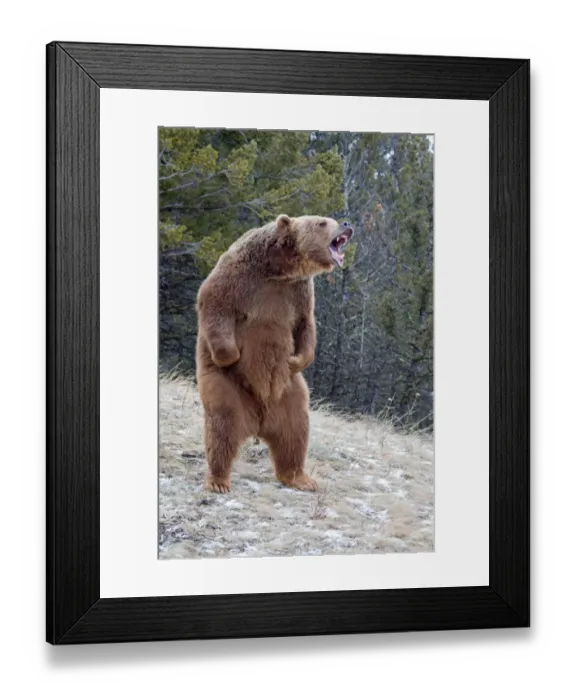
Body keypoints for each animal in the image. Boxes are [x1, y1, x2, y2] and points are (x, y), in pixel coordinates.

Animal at [195, 214, 354, 493]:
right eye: (322, 222)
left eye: (331, 219)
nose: (347, 223)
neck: (278, 270)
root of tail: (258, 423)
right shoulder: (239, 276)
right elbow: (215, 302)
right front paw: (231, 354)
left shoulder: (298, 293)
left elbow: (305, 325)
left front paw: (296, 359)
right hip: (227, 387)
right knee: (222, 428)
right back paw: (218, 481)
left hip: (289, 393)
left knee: (295, 432)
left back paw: (301, 478)